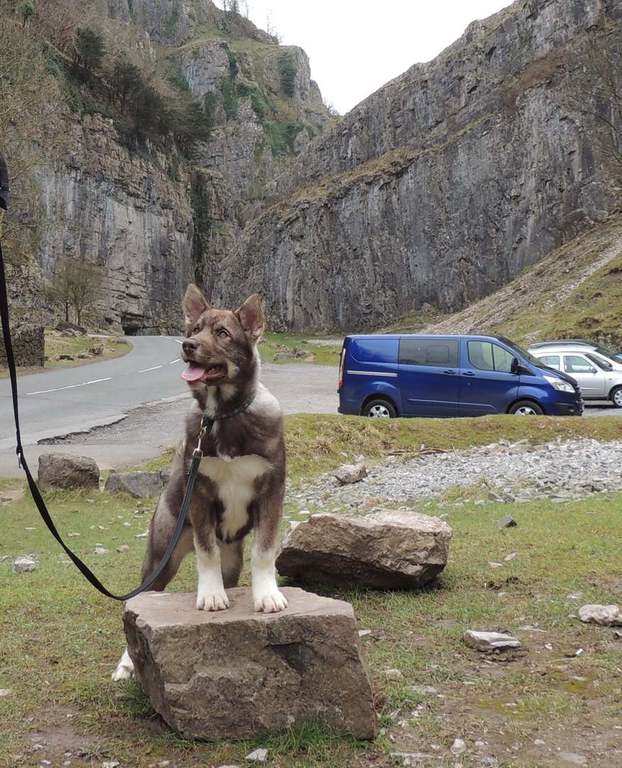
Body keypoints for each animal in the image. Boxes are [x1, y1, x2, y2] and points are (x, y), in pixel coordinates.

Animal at [112, 284, 287, 681]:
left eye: (222, 333)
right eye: (194, 329)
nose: (187, 345)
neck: (223, 416)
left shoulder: (272, 490)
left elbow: (264, 550)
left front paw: (266, 595)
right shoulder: (201, 495)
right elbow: (206, 552)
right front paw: (210, 596)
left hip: (231, 560)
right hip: (160, 556)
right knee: (139, 601)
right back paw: (127, 662)